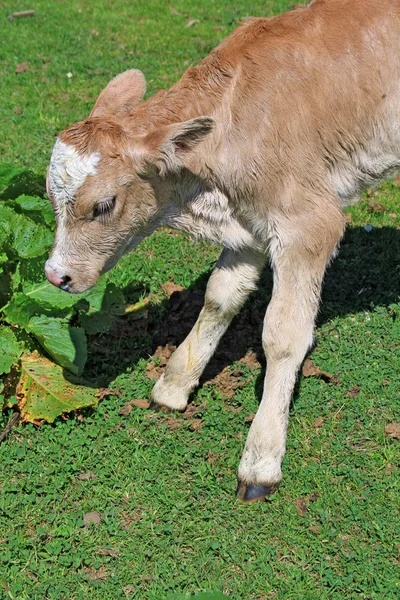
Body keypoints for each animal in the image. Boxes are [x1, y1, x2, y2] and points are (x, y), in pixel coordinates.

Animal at [45, 0, 400, 504]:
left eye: (103, 205)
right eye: (51, 198)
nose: (56, 275)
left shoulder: (308, 222)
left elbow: (283, 335)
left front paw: (261, 459)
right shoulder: (249, 225)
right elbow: (220, 296)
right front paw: (174, 384)